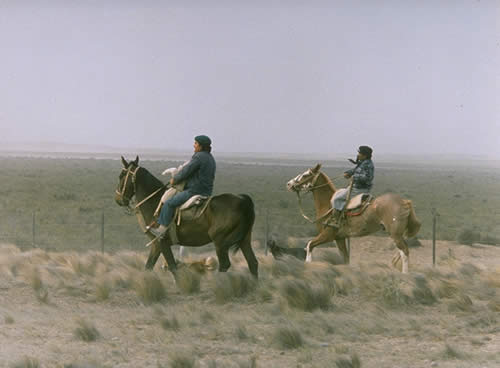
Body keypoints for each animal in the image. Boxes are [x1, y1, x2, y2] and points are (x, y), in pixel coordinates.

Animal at [115, 157, 260, 278]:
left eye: (121, 175)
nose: (118, 199)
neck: (155, 202)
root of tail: (242, 200)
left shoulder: (161, 242)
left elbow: (173, 267)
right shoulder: (156, 245)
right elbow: (149, 266)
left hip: (221, 242)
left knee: (225, 265)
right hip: (244, 240)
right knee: (252, 263)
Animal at [286, 165, 422, 274]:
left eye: (306, 175)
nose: (289, 184)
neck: (328, 205)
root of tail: (404, 202)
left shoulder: (327, 235)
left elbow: (309, 245)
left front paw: (308, 265)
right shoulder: (340, 238)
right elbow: (345, 258)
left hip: (395, 234)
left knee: (404, 251)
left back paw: (405, 274)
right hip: (398, 234)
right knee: (402, 250)